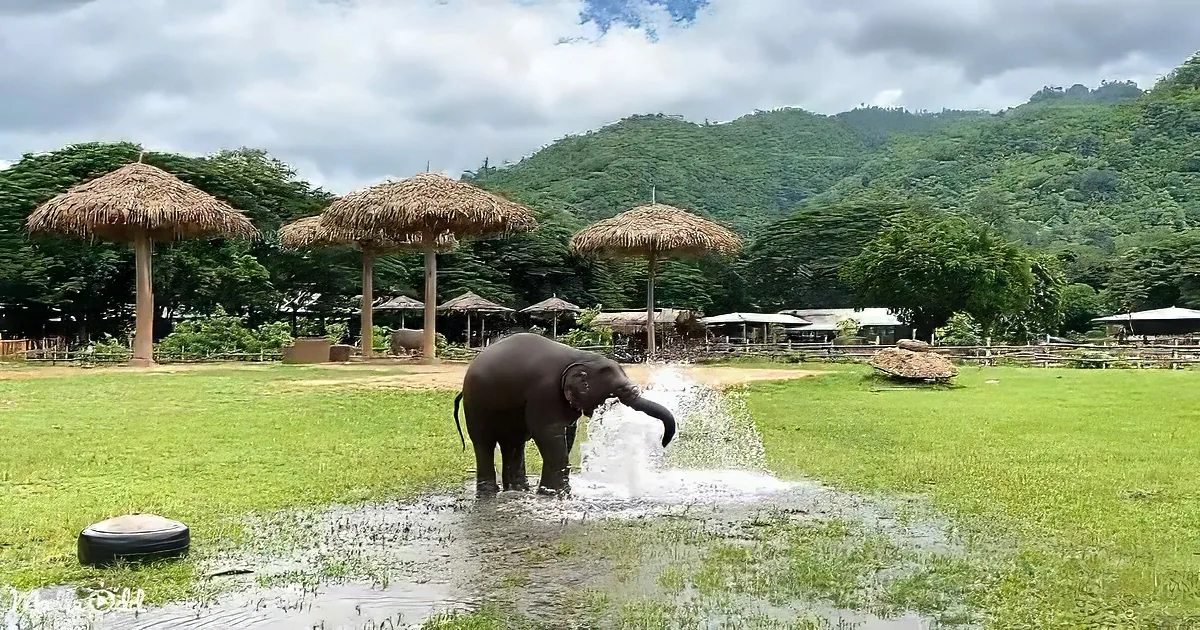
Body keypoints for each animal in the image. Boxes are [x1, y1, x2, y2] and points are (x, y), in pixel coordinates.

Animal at [452, 333, 676, 498]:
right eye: (617, 391)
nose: (663, 443)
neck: (580, 357)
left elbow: (568, 434)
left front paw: (551, 493)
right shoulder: (544, 392)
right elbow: (549, 434)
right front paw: (557, 495)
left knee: (513, 444)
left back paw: (518, 491)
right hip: (476, 406)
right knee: (484, 443)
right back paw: (490, 494)